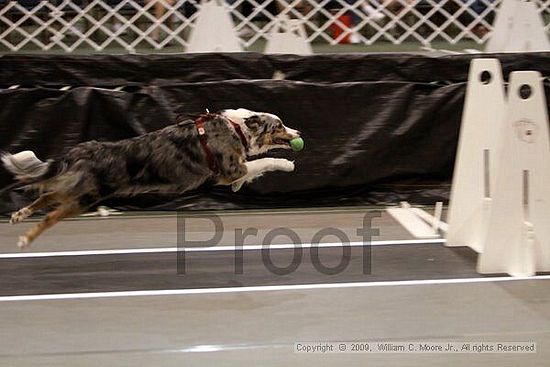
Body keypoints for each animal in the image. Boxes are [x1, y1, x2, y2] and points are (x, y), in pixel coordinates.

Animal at [1, 108, 302, 249]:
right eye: (279, 126)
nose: (299, 133)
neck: (237, 128)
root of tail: (85, 149)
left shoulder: (230, 172)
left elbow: (252, 169)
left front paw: (241, 186)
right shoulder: (228, 169)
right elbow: (262, 162)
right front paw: (286, 164)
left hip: (79, 188)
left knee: (47, 194)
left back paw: (18, 215)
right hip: (87, 195)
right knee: (51, 214)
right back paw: (25, 239)